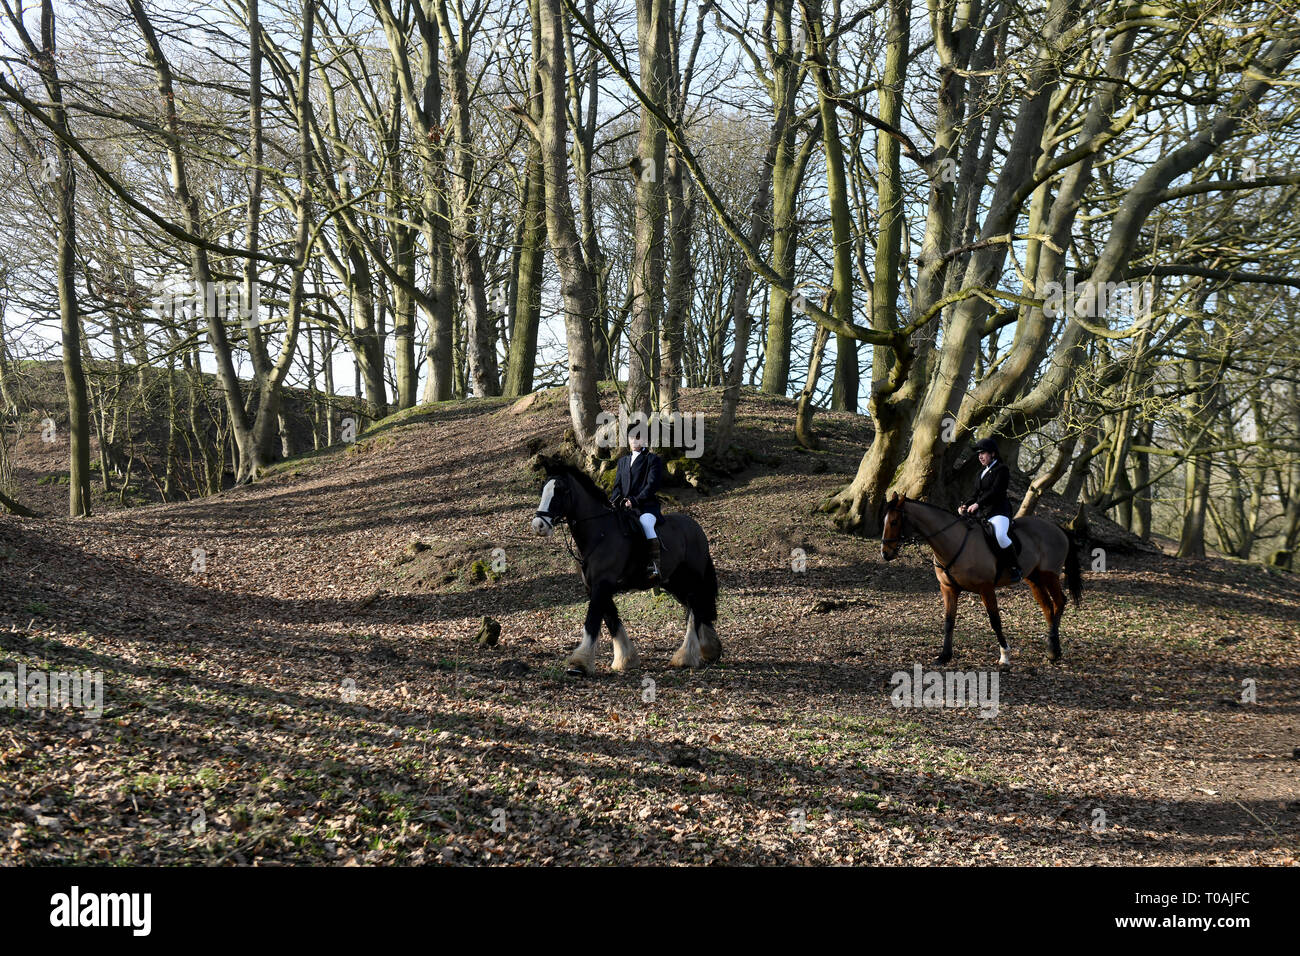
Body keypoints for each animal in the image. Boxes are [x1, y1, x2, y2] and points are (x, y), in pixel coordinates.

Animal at [533, 460, 728, 676]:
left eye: (560, 490)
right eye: (544, 490)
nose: (539, 525)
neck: (600, 532)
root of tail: (696, 528)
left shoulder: (602, 584)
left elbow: (592, 620)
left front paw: (579, 664)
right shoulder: (596, 587)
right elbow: (611, 620)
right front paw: (626, 659)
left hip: (691, 579)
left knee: (695, 609)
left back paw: (686, 657)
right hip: (674, 582)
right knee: (696, 608)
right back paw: (709, 649)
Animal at [878, 494, 1081, 665]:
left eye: (894, 522)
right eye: (885, 521)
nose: (885, 553)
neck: (953, 542)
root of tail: (1056, 528)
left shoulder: (986, 588)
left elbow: (995, 620)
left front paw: (1004, 656)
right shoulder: (948, 588)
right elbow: (949, 621)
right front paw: (944, 656)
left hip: (1049, 575)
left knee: (1060, 602)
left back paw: (1053, 650)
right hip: (1034, 578)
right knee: (1048, 607)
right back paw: (1052, 648)